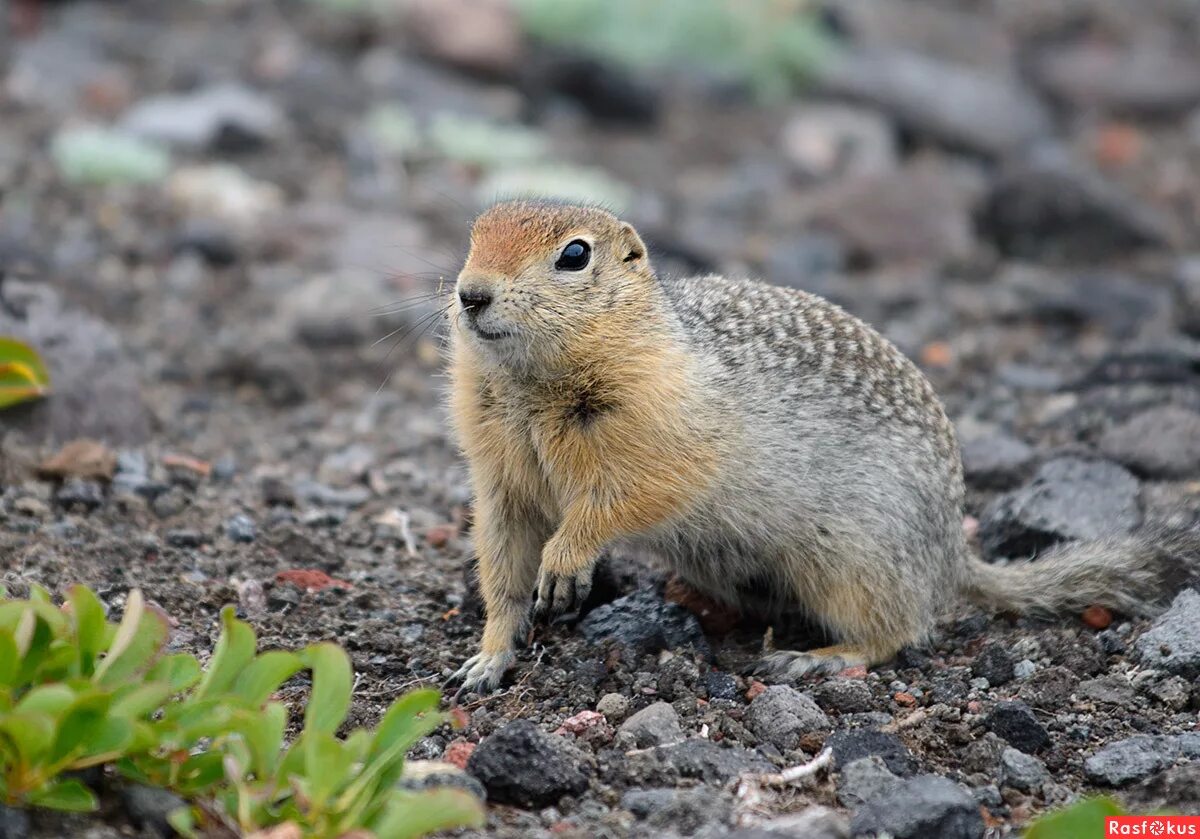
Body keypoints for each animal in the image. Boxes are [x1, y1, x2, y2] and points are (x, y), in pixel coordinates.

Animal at [448, 200, 1200, 691]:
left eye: (574, 254)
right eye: (473, 235)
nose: (470, 293)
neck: (533, 384)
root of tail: (952, 556)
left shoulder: (661, 434)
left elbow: (628, 497)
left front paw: (567, 559)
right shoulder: (500, 479)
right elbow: (503, 568)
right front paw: (486, 658)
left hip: (853, 561)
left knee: (901, 630)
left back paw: (816, 657)